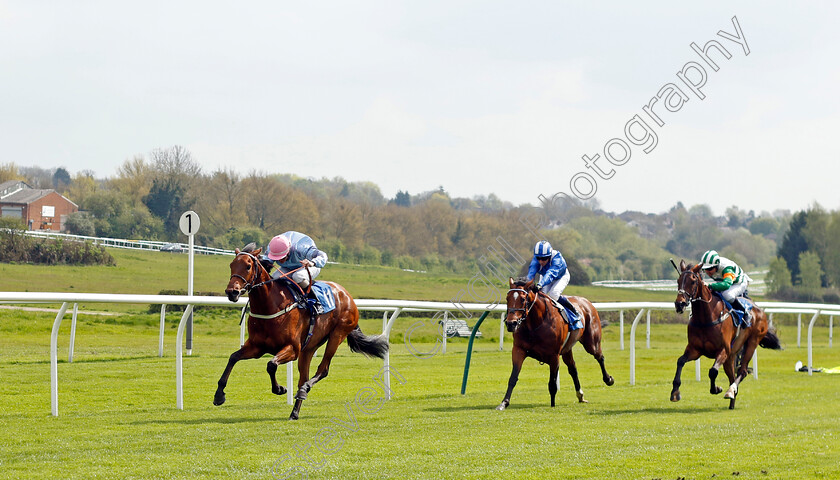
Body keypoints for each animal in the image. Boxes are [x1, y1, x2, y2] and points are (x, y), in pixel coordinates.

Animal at [215, 244, 388, 420]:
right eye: (231, 265)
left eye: (248, 266)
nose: (232, 292)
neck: (271, 305)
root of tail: (346, 295)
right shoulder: (257, 347)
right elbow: (233, 357)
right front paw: (219, 395)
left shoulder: (292, 349)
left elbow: (271, 364)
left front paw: (280, 389)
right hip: (309, 348)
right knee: (303, 377)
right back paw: (295, 411)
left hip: (337, 335)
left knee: (322, 370)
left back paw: (304, 390)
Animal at [496, 278, 612, 408]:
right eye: (507, 298)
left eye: (522, 299)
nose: (511, 323)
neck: (536, 324)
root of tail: (587, 302)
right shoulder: (518, 350)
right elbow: (513, 377)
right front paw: (504, 403)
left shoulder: (554, 355)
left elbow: (552, 383)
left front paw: (552, 404)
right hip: (567, 349)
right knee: (573, 368)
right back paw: (580, 395)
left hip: (591, 343)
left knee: (600, 357)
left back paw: (608, 379)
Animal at [668, 260, 780, 410]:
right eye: (678, 280)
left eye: (692, 281)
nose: (679, 304)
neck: (706, 317)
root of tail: (759, 310)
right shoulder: (695, 350)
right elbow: (680, 361)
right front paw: (675, 392)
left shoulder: (723, 350)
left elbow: (713, 371)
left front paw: (716, 389)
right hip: (731, 356)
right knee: (732, 376)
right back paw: (732, 402)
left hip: (752, 343)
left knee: (742, 371)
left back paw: (730, 391)